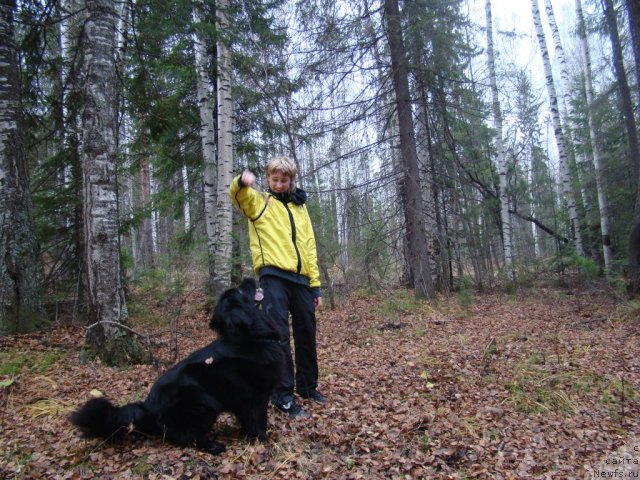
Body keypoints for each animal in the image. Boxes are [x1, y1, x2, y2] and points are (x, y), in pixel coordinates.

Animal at [67, 278, 282, 454]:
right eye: (240, 290)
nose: (247, 278)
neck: (250, 339)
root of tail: (148, 408)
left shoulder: (243, 401)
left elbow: (247, 420)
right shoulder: (258, 395)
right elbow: (259, 420)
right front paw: (262, 441)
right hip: (205, 401)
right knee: (186, 438)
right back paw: (213, 446)